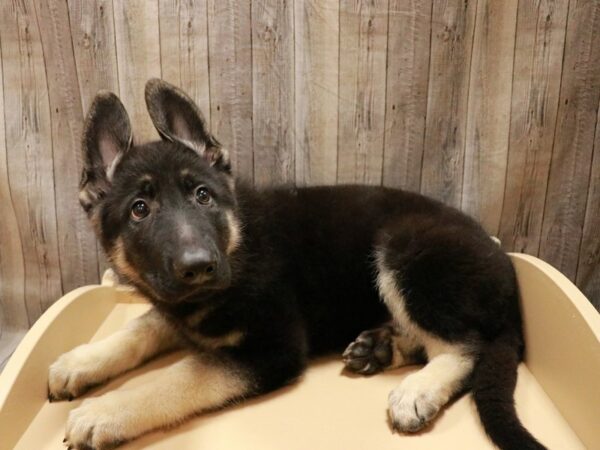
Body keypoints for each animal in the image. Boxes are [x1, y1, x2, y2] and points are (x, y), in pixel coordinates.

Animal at [47, 79, 544, 448]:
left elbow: (183, 374)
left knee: (466, 346)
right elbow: (141, 327)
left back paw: (418, 388)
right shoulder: (180, 305)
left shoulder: (272, 347)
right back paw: (381, 348)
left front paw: (107, 410)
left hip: (404, 251)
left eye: (202, 196)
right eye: (139, 210)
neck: (237, 245)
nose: (199, 266)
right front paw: (80, 360)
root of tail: (504, 264)